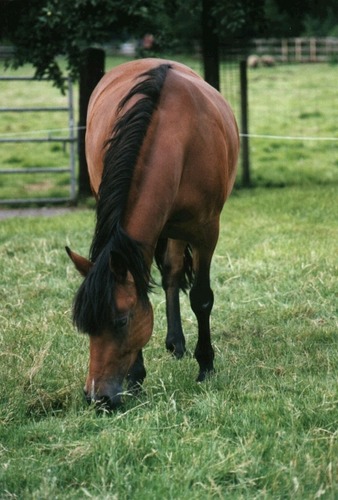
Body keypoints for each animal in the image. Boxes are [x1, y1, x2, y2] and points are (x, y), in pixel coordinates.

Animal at [66, 58, 239, 410]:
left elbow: (202, 298)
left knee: (174, 273)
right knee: (170, 272)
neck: (178, 138)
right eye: (85, 326)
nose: (96, 397)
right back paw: (174, 343)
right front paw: (135, 378)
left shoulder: (206, 231)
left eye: (121, 321)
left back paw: (180, 345)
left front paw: (206, 365)